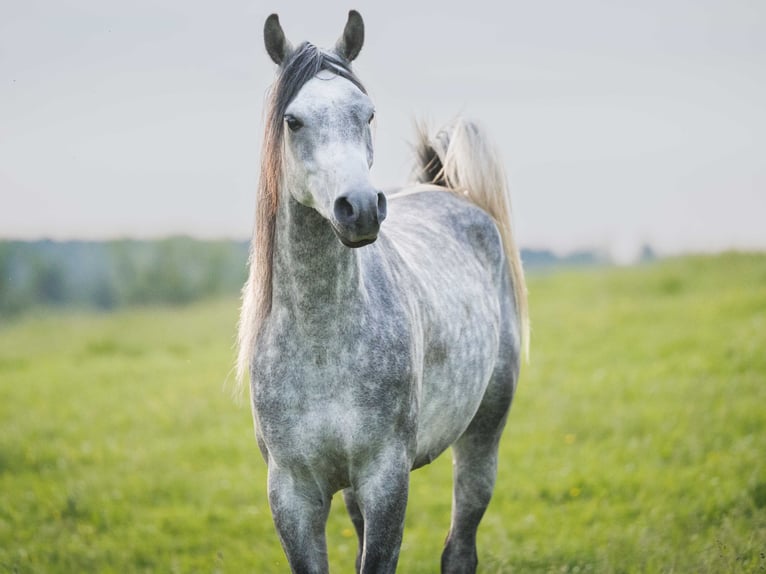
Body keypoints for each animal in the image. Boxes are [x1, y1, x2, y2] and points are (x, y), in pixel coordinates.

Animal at [236, 10, 529, 574]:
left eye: (367, 114)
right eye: (293, 121)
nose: (360, 208)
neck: (322, 341)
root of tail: (447, 191)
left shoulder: (385, 479)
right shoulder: (292, 493)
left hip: (483, 435)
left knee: (460, 547)